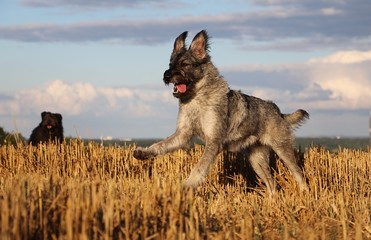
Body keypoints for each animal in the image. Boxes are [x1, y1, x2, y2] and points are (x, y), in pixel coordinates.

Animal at [135, 30, 310, 195]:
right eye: (170, 63)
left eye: (185, 64)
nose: (167, 75)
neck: (197, 97)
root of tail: (278, 112)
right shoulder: (182, 134)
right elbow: (161, 144)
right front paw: (143, 152)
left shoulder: (213, 142)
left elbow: (199, 168)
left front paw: (187, 186)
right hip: (257, 160)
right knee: (272, 184)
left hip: (283, 150)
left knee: (299, 174)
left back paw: (304, 192)